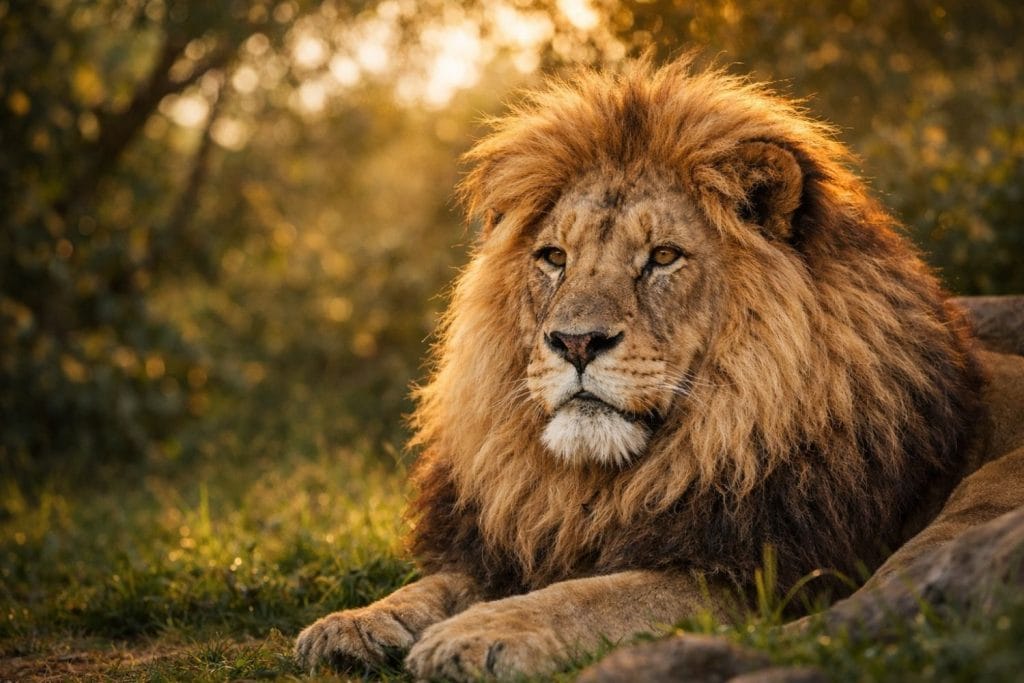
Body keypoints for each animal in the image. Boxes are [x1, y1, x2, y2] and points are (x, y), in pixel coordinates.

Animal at [295, 58, 1024, 680]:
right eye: (554, 257)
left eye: (664, 257)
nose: (576, 342)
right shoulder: (525, 532)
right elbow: (439, 582)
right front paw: (353, 622)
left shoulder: (756, 572)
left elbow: (601, 594)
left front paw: (481, 633)